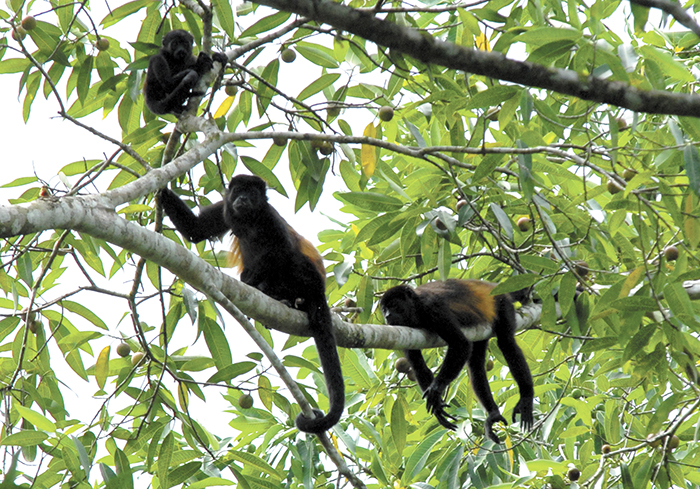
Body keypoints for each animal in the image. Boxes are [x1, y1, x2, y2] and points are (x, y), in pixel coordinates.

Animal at [158, 175, 344, 433]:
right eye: (238, 191)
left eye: (252, 193)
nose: (244, 199)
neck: (249, 220)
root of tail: (320, 292)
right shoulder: (226, 208)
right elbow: (196, 230)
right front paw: (161, 189)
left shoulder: (270, 217)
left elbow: (281, 250)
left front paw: (251, 279)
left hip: (310, 281)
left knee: (291, 257)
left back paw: (275, 292)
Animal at [380, 279, 534, 443]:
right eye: (383, 309)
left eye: (393, 305)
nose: (387, 316)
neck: (415, 309)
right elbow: (418, 366)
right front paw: (437, 408)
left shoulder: (433, 308)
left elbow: (461, 344)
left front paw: (435, 390)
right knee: (476, 365)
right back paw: (493, 414)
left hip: (502, 303)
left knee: (506, 343)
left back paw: (526, 397)